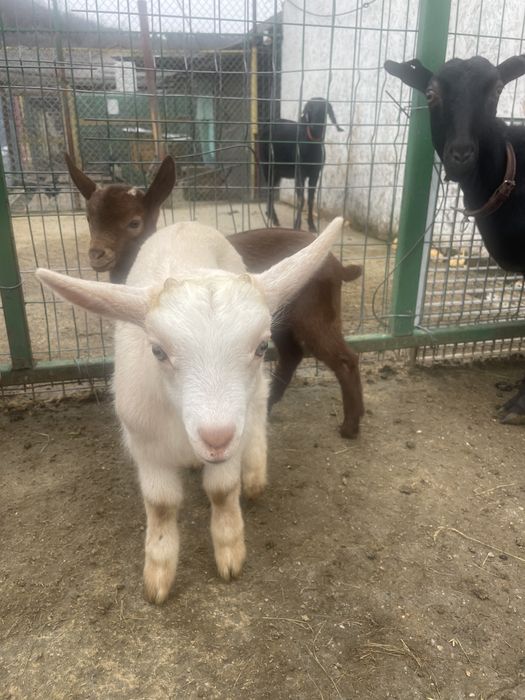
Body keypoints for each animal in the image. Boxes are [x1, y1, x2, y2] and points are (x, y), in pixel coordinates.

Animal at [36, 217, 344, 603]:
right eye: (157, 351)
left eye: (261, 346)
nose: (216, 437)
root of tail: (186, 223)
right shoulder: (146, 445)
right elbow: (161, 504)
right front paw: (158, 577)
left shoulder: (232, 438)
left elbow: (223, 491)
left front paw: (230, 554)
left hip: (250, 398)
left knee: (260, 402)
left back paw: (255, 472)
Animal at [66, 154, 364, 438]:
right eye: (89, 219)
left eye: (134, 222)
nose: (97, 254)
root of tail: (338, 265)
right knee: (292, 354)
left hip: (315, 311)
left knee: (344, 358)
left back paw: (350, 426)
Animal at [258, 97, 343, 233]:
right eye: (309, 109)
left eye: (325, 110)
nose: (314, 127)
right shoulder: (300, 173)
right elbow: (301, 199)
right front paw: (297, 225)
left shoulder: (315, 173)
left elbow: (310, 200)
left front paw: (311, 225)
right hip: (267, 166)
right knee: (269, 190)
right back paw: (274, 219)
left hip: (277, 172)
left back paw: (269, 214)